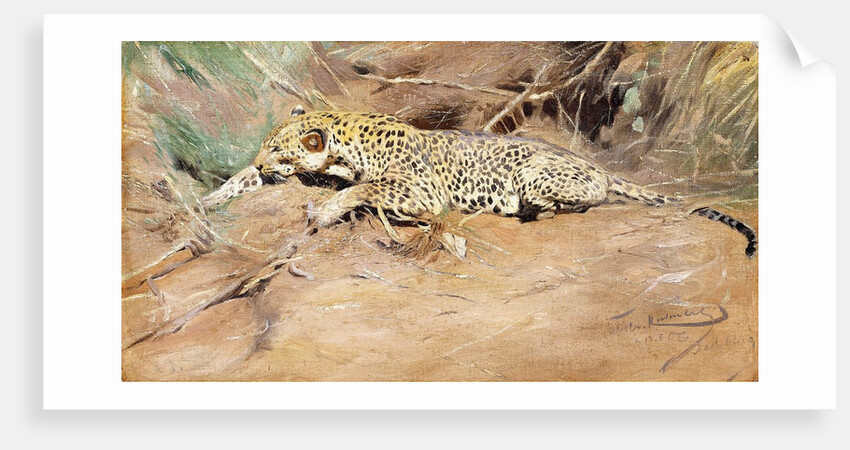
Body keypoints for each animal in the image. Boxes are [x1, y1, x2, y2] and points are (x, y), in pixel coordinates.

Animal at [210, 105, 757, 257]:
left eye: (276, 149)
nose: (261, 160)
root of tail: (598, 165)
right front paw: (214, 195)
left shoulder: (423, 193)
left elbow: (364, 188)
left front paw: (324, 211)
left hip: (536, 176)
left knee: (585, 201)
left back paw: (534, 210)